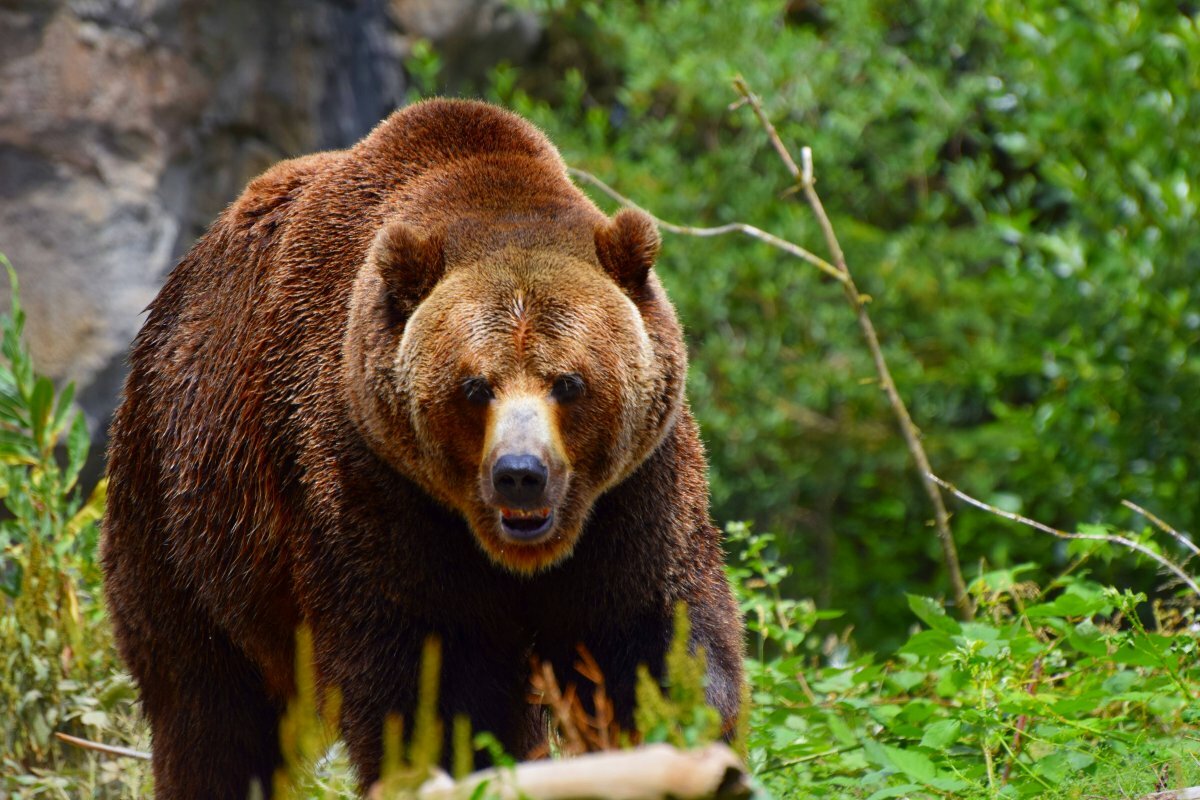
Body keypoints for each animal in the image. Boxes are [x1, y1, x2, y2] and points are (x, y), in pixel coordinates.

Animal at [101, 98, 744, 800]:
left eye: (568, 381)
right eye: (476, 386)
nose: (521, 474)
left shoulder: (633, 494)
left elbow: (649, 641)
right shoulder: (374, 484)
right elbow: (433, 679)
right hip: (188, 515)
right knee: (209, 709)